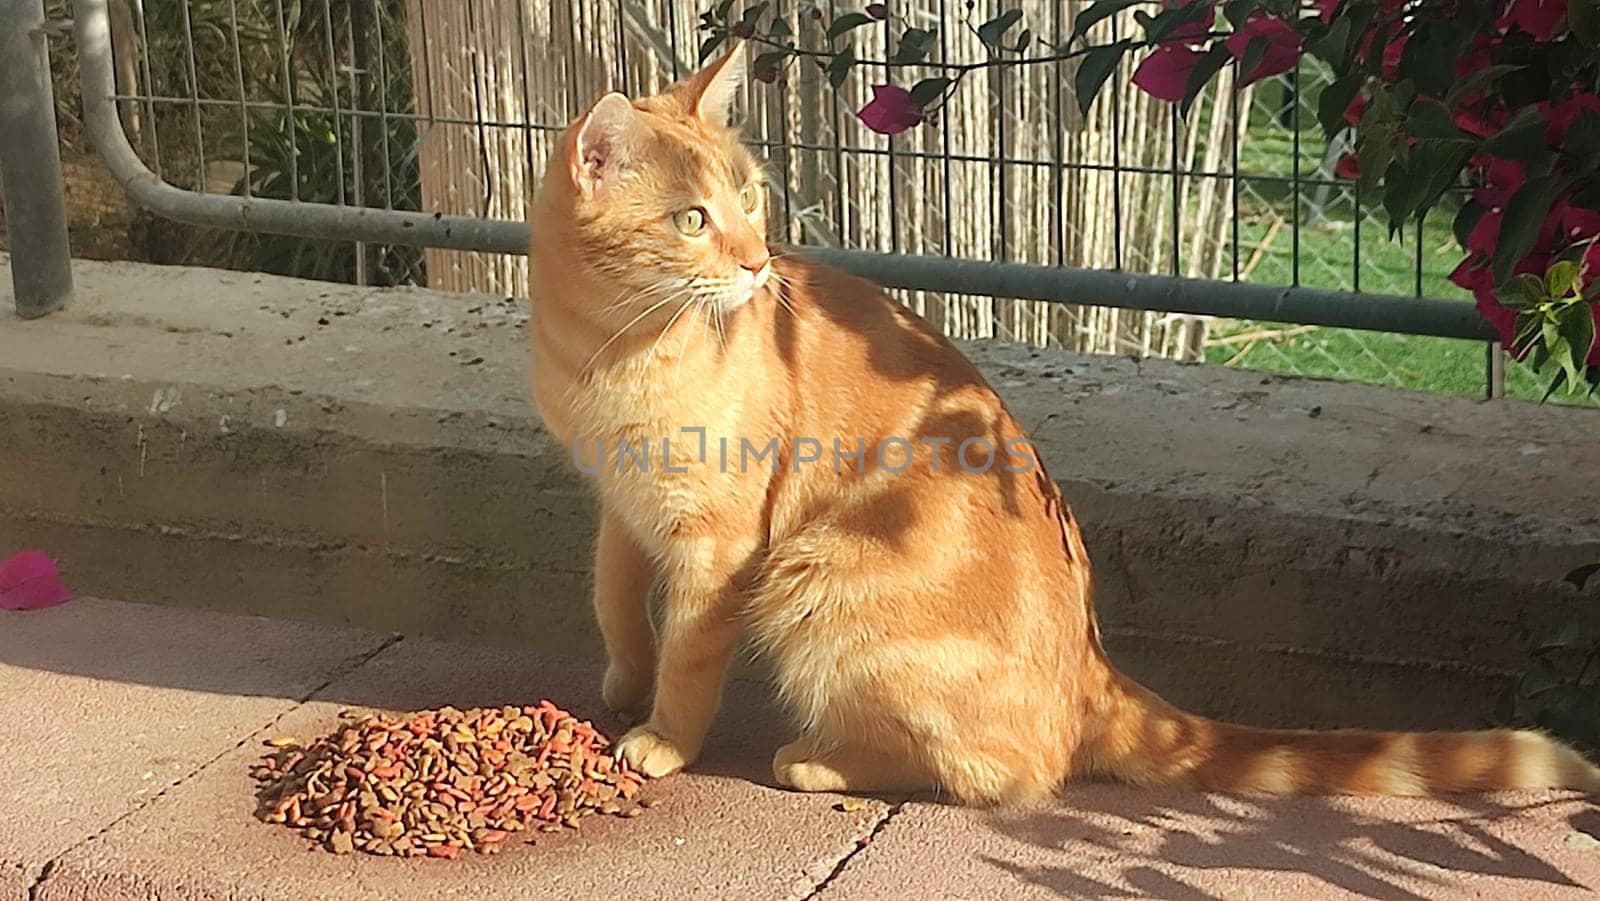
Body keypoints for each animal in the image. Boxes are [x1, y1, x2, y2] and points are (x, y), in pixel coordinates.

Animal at [528, 44, 1600, 803]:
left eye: (748, 196)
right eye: (692, 219)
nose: (758, 263)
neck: (608, 353)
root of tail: (1094, 669)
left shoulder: (720, 542)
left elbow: (690, 651)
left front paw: (664, 735)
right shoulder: (619, 506)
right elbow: (613, 600)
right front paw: (622, 679)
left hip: (819, 575)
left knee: (1001, 772)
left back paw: (821, 760)